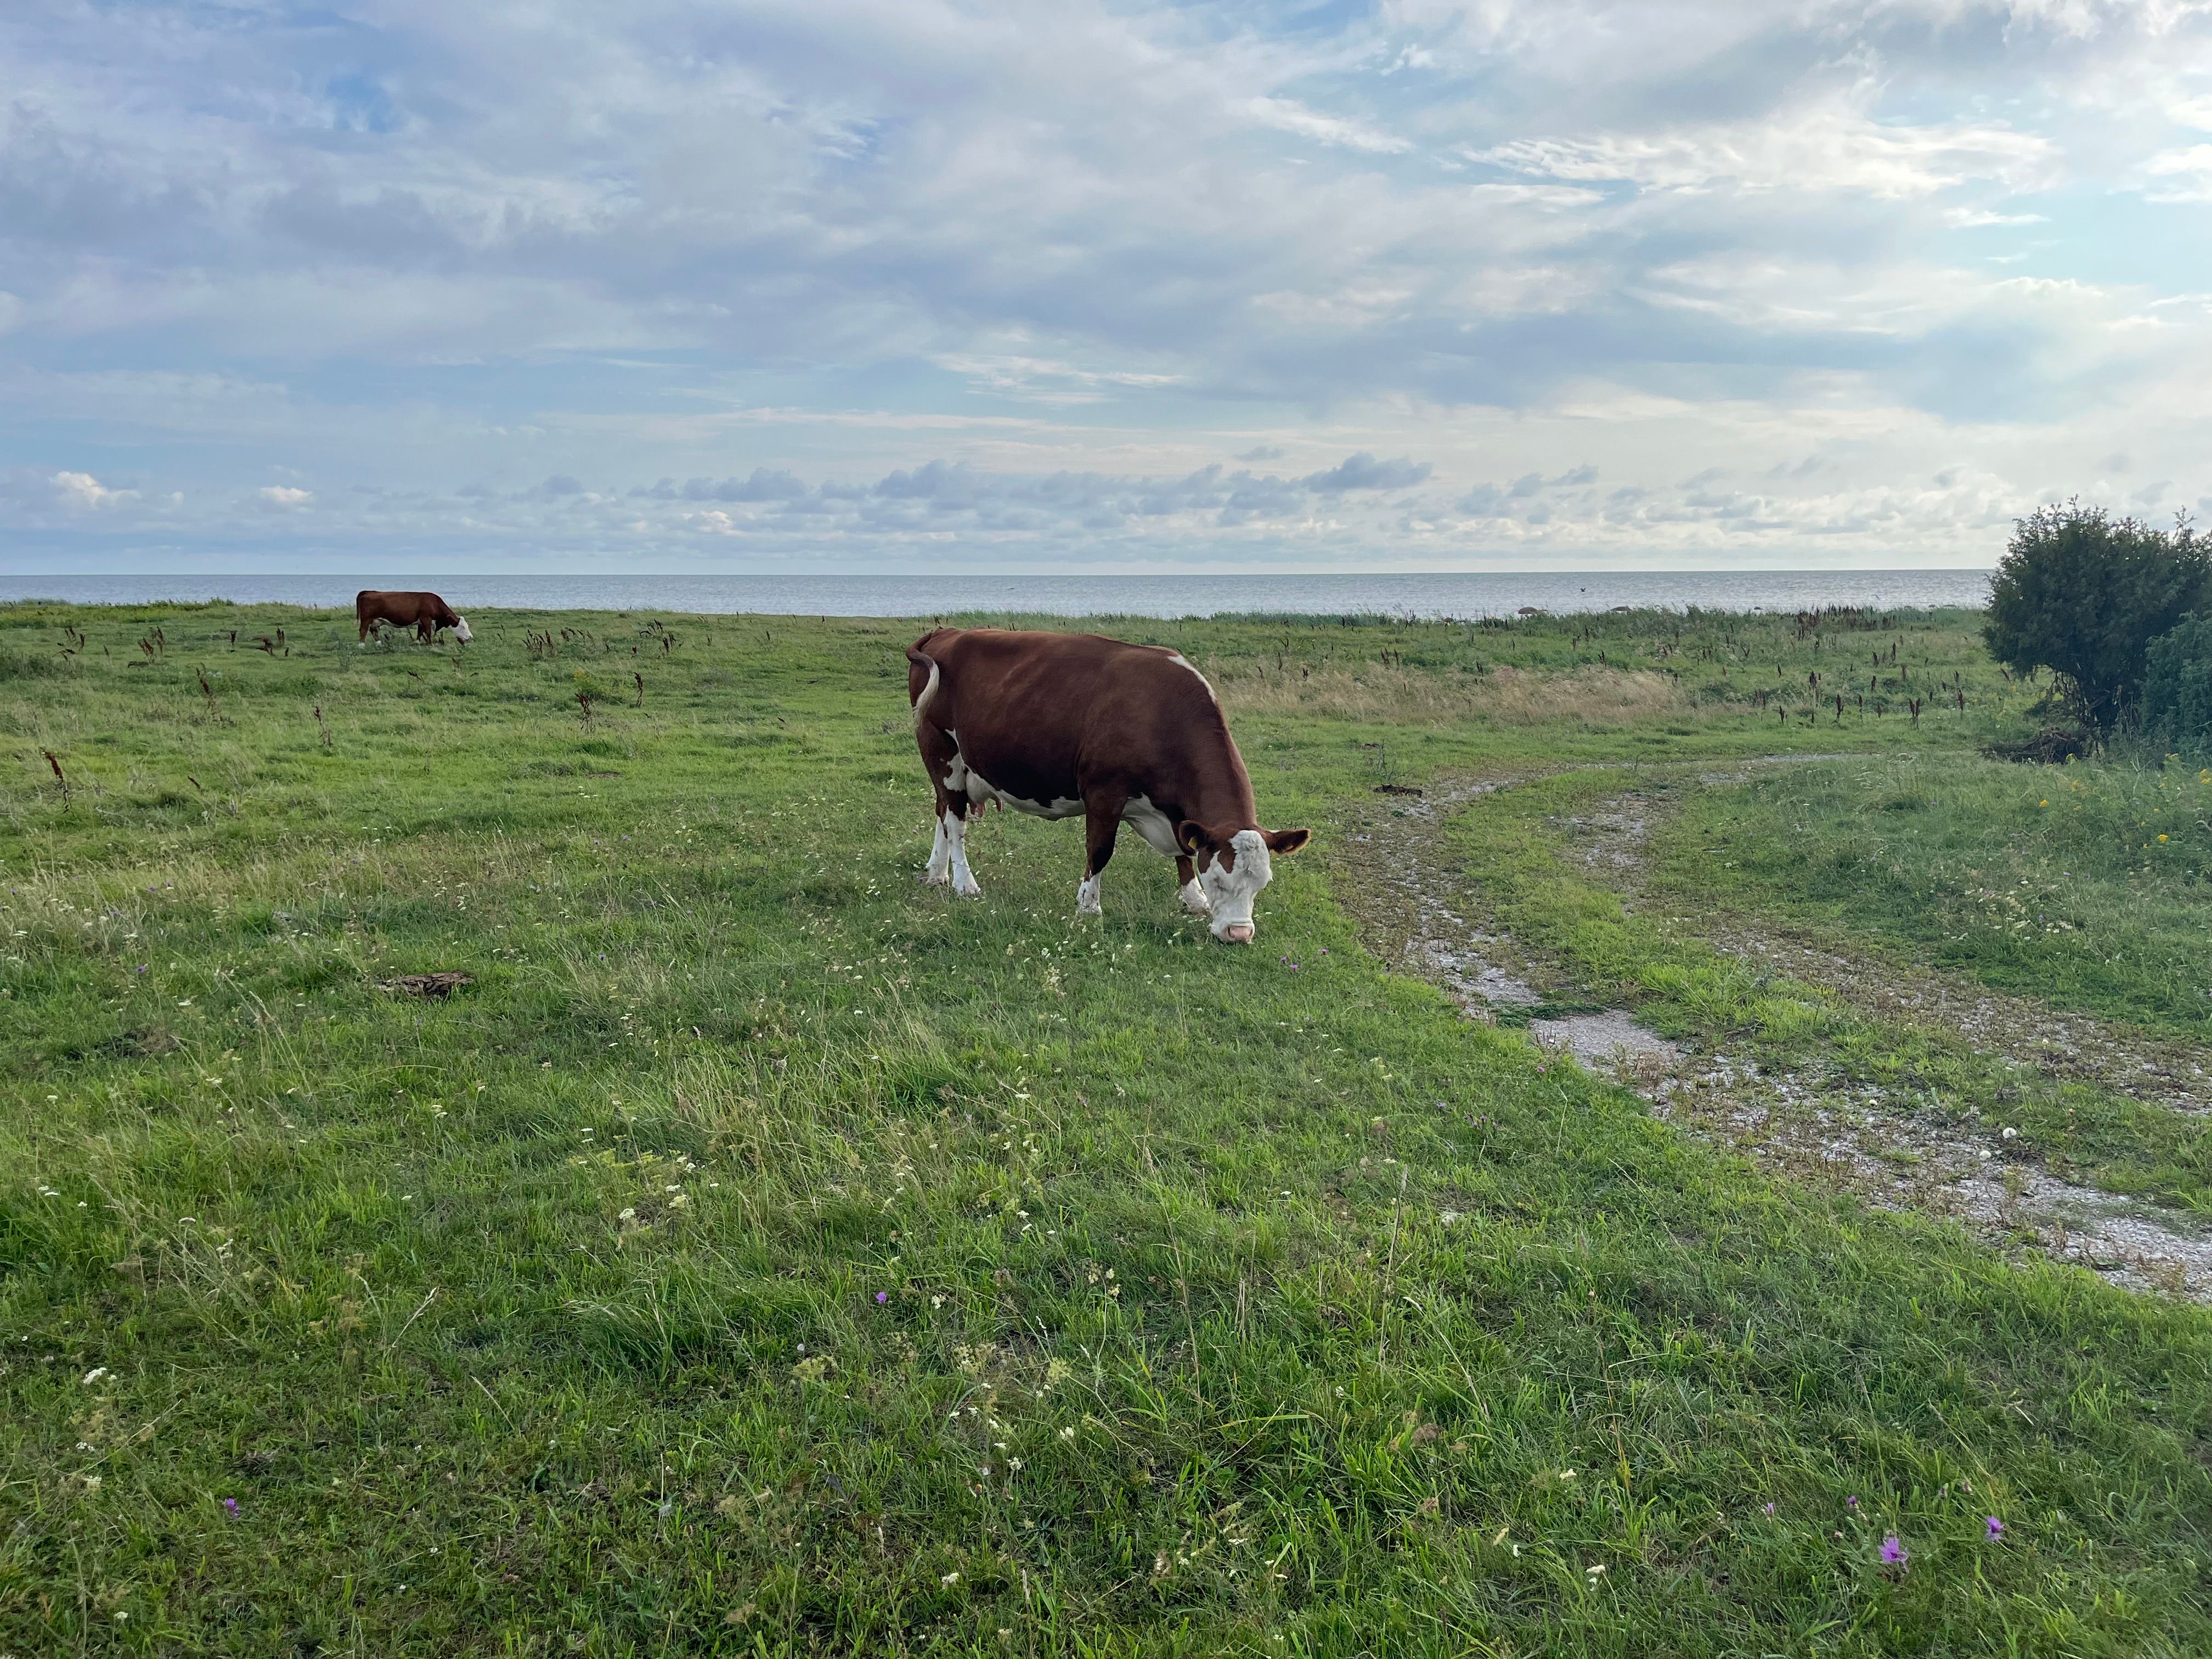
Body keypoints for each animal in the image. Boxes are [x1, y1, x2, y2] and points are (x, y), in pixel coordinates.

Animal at [356, 592, 473, 646]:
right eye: (462, 627)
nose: (471, 637)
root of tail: (368, 592)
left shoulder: (421, 621)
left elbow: (420, 632)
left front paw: (417, 643)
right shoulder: (426, 618)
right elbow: (428, 632)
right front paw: (431, 644)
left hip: (376, 621)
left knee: (373, 631)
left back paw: (379, 643)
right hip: (366, 619)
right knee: (363, 630)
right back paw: (362, 645)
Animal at [902, 628, 1300, 942]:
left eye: (1262, 884)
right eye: (1218, 879)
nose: (1239, 933)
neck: (1161, 714)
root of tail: (947, 631)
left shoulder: (1176, 814)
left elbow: (1183, 850)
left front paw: (1194, 900)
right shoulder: (1103, 793)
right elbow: (1100, 850)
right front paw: (1088, 906)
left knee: (943, 811)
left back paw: (936, 874)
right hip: (941, 749)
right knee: (955, 820)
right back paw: (964, 883)